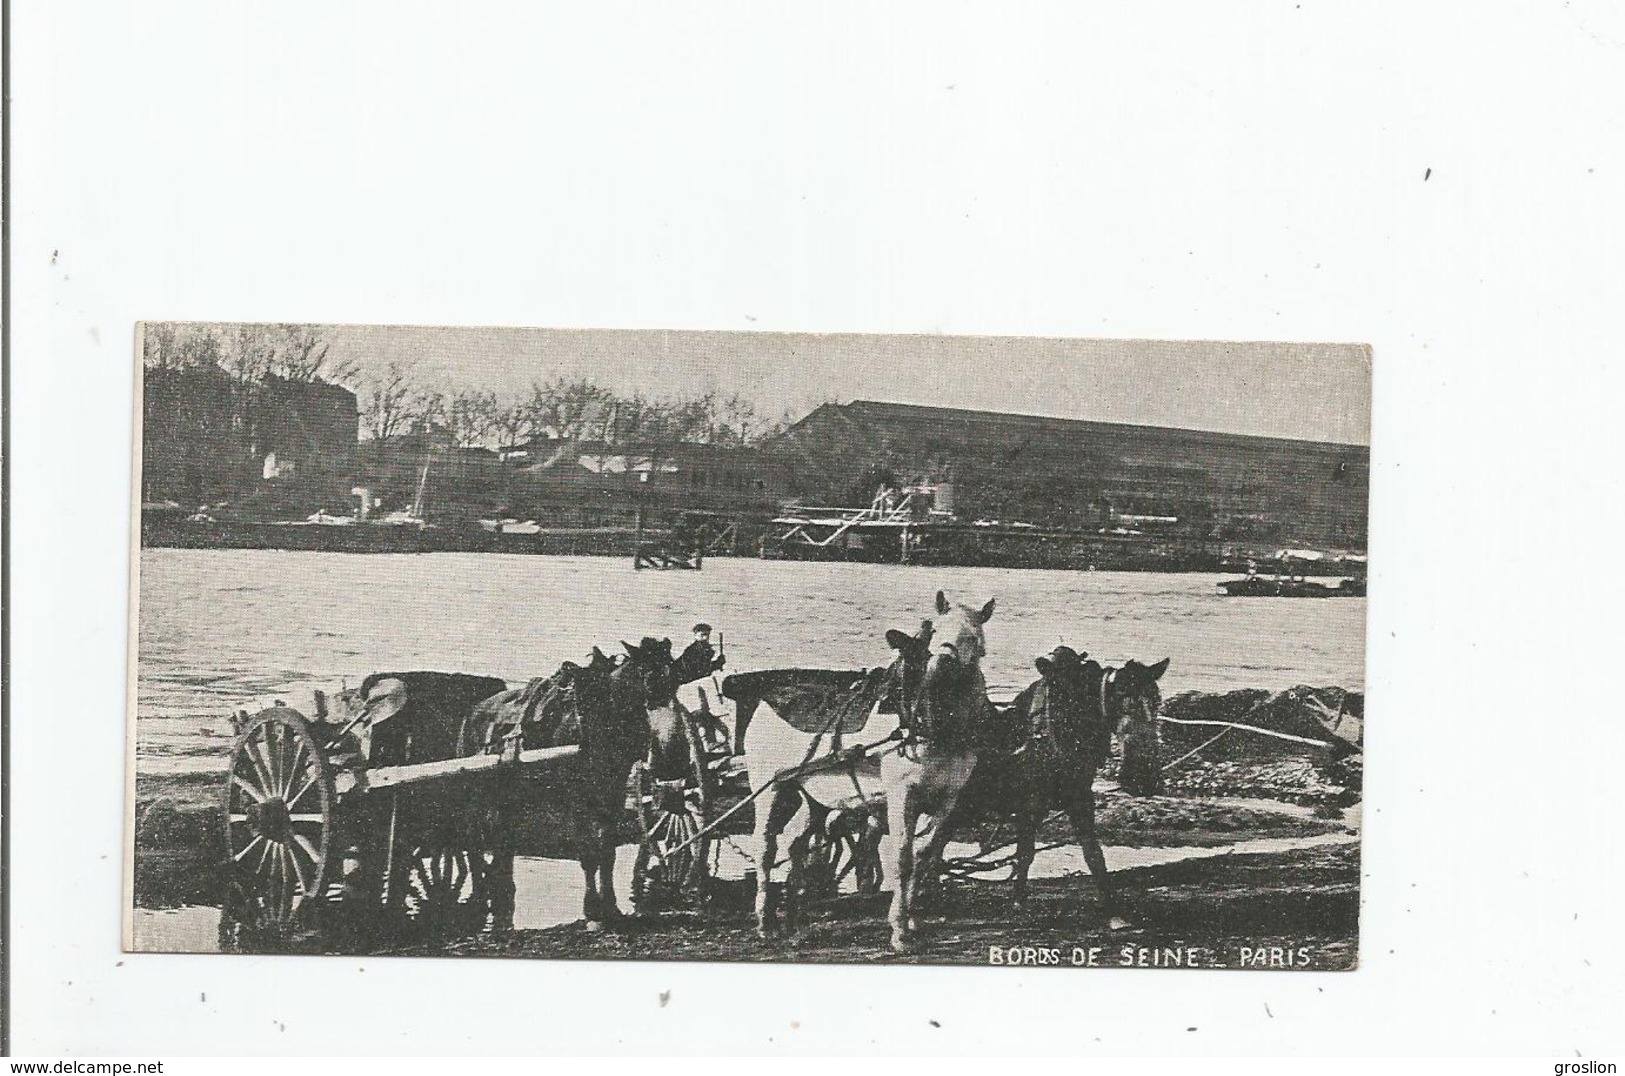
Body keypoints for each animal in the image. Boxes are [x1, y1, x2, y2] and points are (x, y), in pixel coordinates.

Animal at [744, 594, 994, 955]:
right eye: (934, 633)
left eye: (972, 637)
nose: (941, 667)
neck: (930, 724)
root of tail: (765, 701)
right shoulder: (903, 795)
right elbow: (902, 858)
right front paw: (899, 931)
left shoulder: (947, 799)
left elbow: (923, 855)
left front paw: (912, 921)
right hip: (772, 789)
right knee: (765, 849)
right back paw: (766, 923)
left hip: (813, 798)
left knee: (796, 845)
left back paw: (793, 918)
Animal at [949, 643, 1170, 929]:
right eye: (1121, 697)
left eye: (1156, 700)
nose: (1143, 778)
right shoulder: (1030, 803)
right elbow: (1025, 853)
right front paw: (1018, 902)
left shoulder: (1080, 799)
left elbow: (1094, 855)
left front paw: (1114, 911)